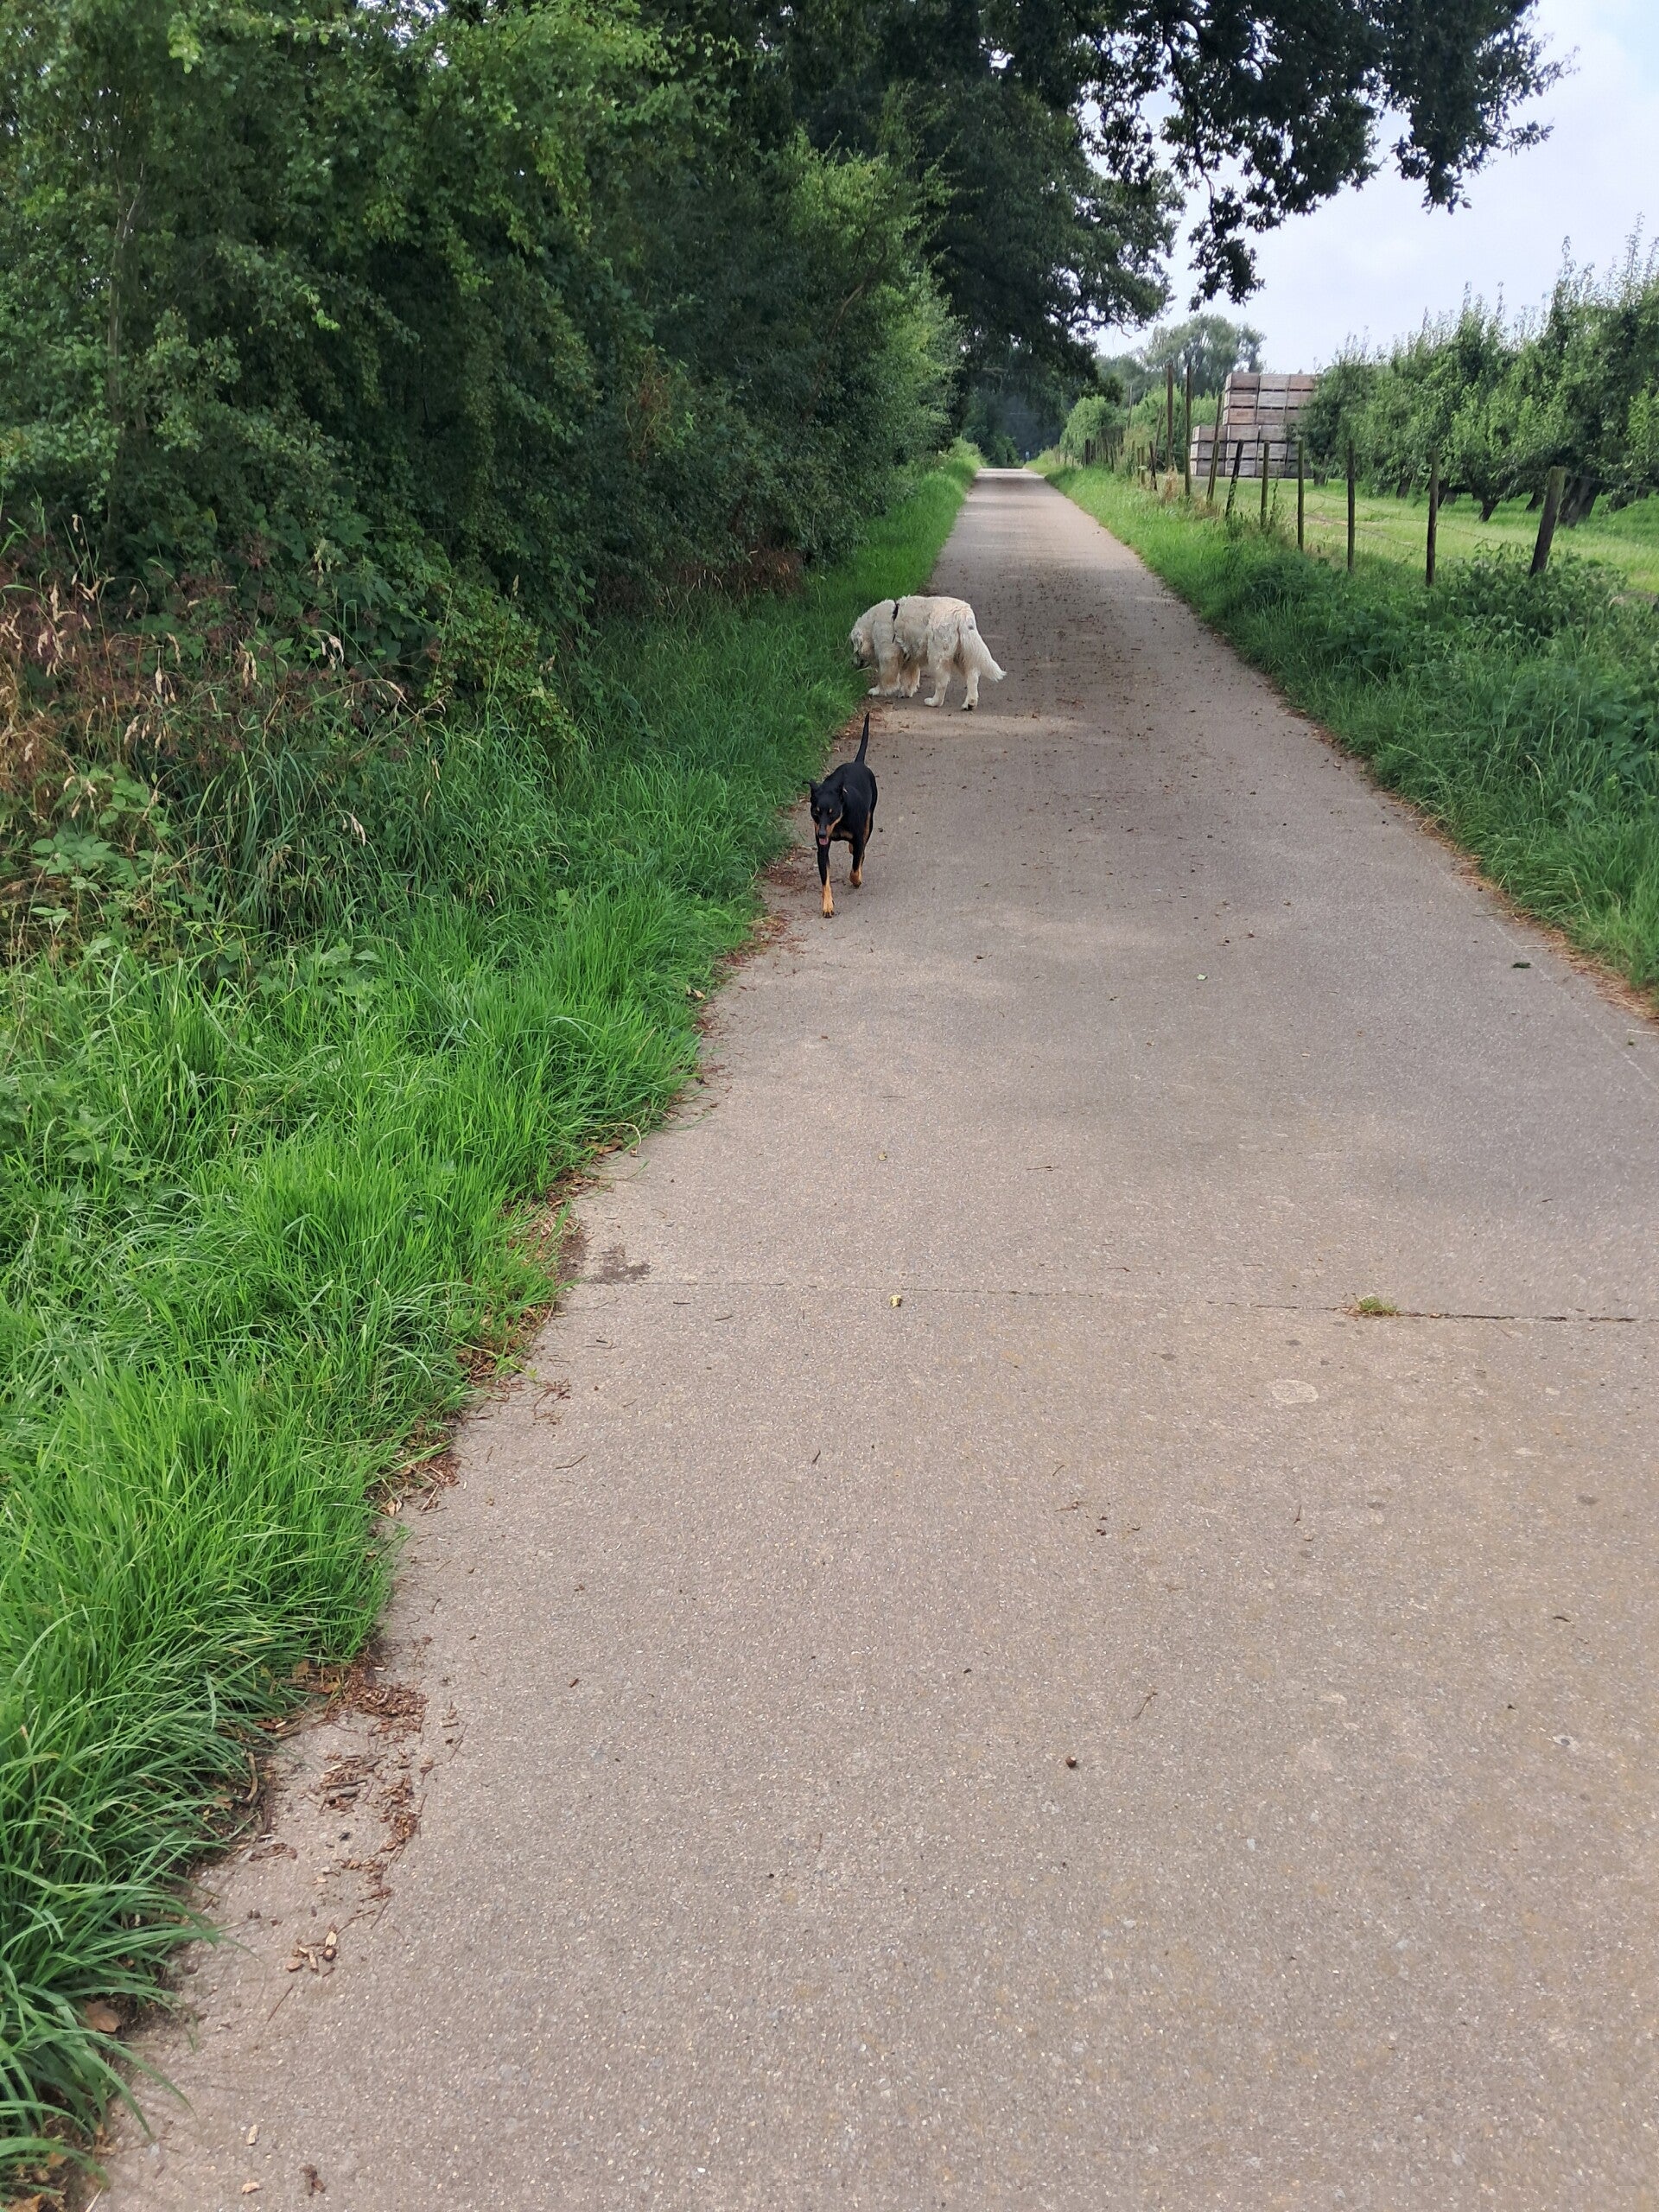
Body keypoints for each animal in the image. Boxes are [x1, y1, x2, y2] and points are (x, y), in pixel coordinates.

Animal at [808, 715, 877, 918]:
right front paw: (827, 905)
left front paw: (857, 878)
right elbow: (825, 879)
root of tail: (858, 763)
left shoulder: (859, 837)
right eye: (815, 812)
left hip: (870, 820)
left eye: (833, 812)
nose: (822, 834)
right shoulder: (822, 849)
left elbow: (855, 868)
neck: (838, 824)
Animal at [849, 594, 1006, 710]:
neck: (872, 625)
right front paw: (906, 692)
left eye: (852, 645)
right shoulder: (910, 658)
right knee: (972, 677)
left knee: (943, 682)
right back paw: (970, 703)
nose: (852, 663)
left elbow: (885, 677)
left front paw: (879, 690)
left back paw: (934, 702)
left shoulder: (888, 655)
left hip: (938, 656)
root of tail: (962, 612)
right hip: (960, 655)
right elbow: (909, 676)